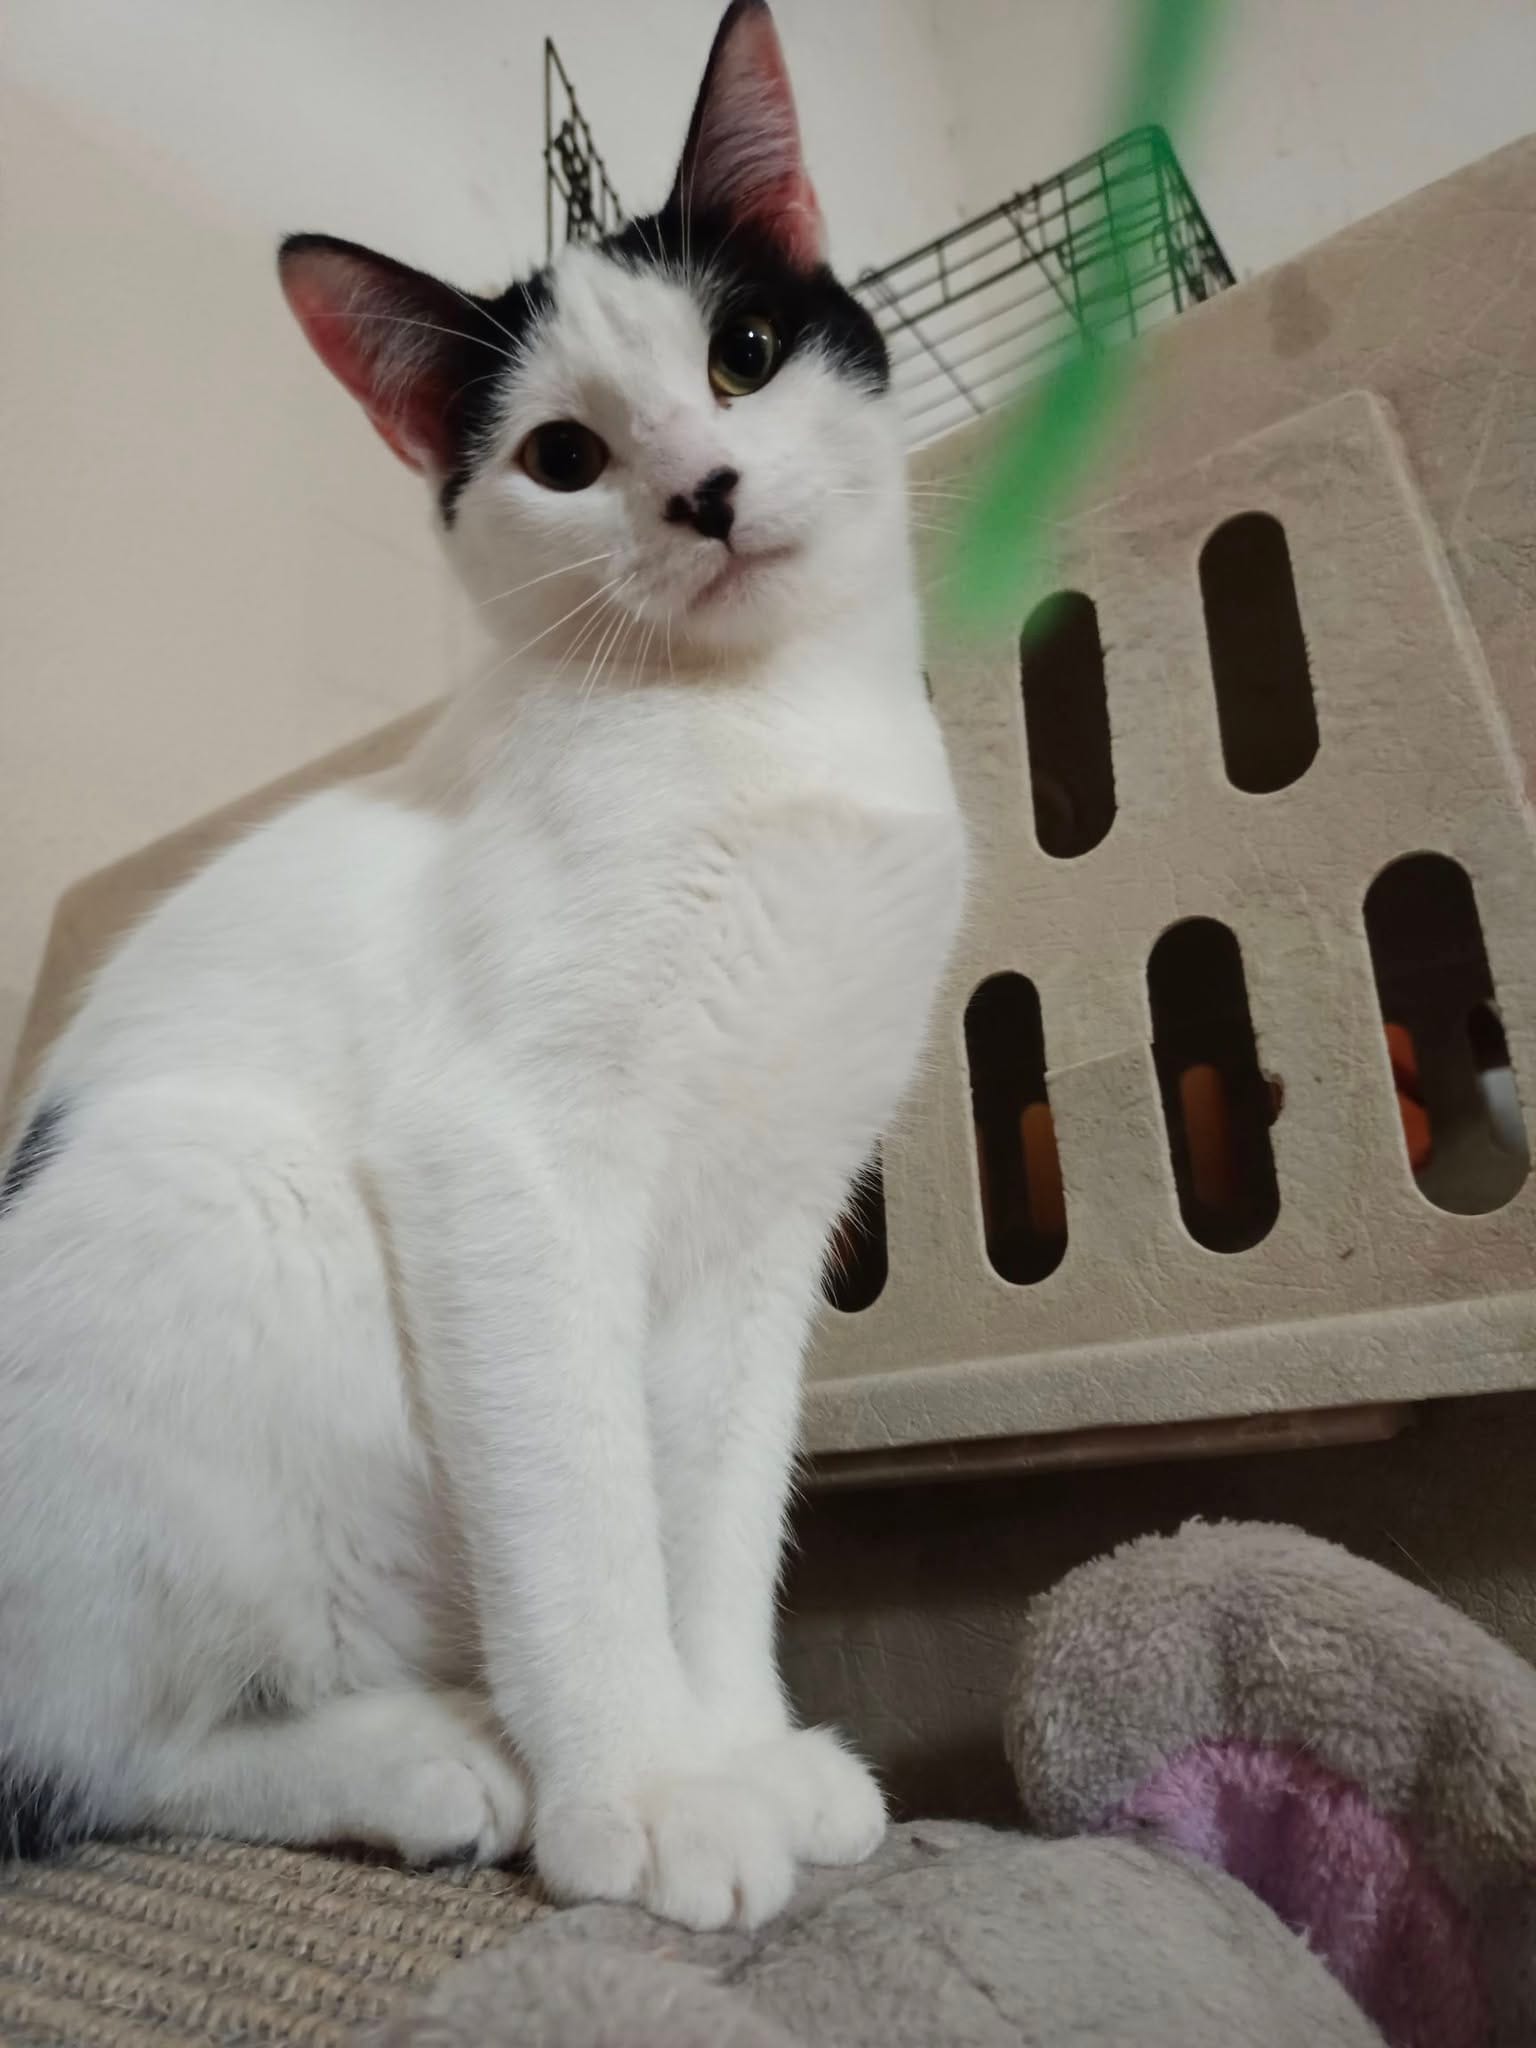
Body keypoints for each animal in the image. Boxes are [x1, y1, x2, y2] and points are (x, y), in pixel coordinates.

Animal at [0, 0, 965, 1930]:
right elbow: (584, 1501)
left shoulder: (769, 1222)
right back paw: (426, 1757)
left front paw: (736, 1740)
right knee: (90, 1753)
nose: (704, 489)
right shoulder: (508, 1154)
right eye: (564, 460)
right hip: (217, 1196)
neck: (759, 729)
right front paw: (649, 1791)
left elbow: (716, 1510)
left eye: (745, 354)